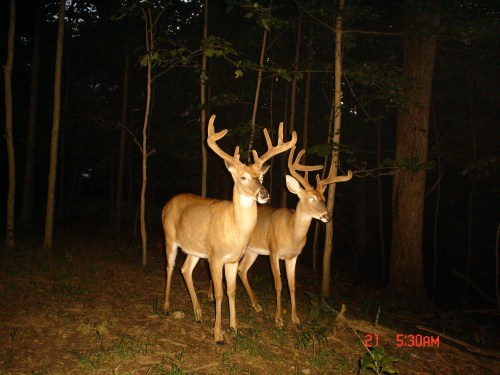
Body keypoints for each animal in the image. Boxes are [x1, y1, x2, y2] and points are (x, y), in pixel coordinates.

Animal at [162, 116, 296, 346]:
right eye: (243, 177)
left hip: (195, 249)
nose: (264, 194)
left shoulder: (232, 260)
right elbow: (218, 294)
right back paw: (166, 307)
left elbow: (232, 291)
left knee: (185, 269)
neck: (234, 229)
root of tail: (167, 204)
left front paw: (234, 327)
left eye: (261, 177)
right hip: (170, 237)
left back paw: (198, 313)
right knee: (170, 267)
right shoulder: (215, 257)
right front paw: (218, 334)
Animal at [237, 145, 352, 328]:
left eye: (323, 198)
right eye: (311, 198)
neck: (291, 234)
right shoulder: (274, 251)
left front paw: (295, 317)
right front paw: (278, 319)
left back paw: (257, 305)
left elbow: (292, 286)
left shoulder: (293, 256)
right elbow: (278, 284)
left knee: (241, 269)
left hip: (253, 250)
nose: (327, 216)